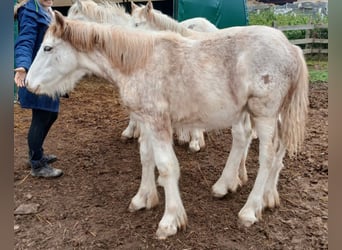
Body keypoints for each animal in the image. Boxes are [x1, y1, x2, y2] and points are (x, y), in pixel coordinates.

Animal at [25, 11, 308, 238]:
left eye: (48, 48)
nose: (27, 83)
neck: (138, 62)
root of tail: (292, 48)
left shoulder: (158, 121)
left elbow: (167, 166)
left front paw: (170, 221)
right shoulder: (146, 120)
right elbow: (146, 157)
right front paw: (143, 198)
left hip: (265, 114)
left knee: (268, 156)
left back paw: (250, 209)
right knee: (270, 148)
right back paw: (259, 195)